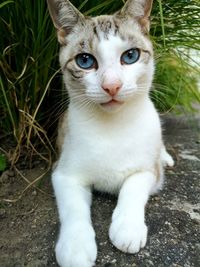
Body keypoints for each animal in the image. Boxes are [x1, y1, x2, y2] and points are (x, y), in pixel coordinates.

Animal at [46, 0, 173, 267]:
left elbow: (132, 187)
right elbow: (74, 209)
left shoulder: (149, 172)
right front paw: (75, 247)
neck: (111, 126)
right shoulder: (64, 174)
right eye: (85, 60)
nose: (111, 86)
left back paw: (166, 157)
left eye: (130, 56)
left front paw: (128, 228)